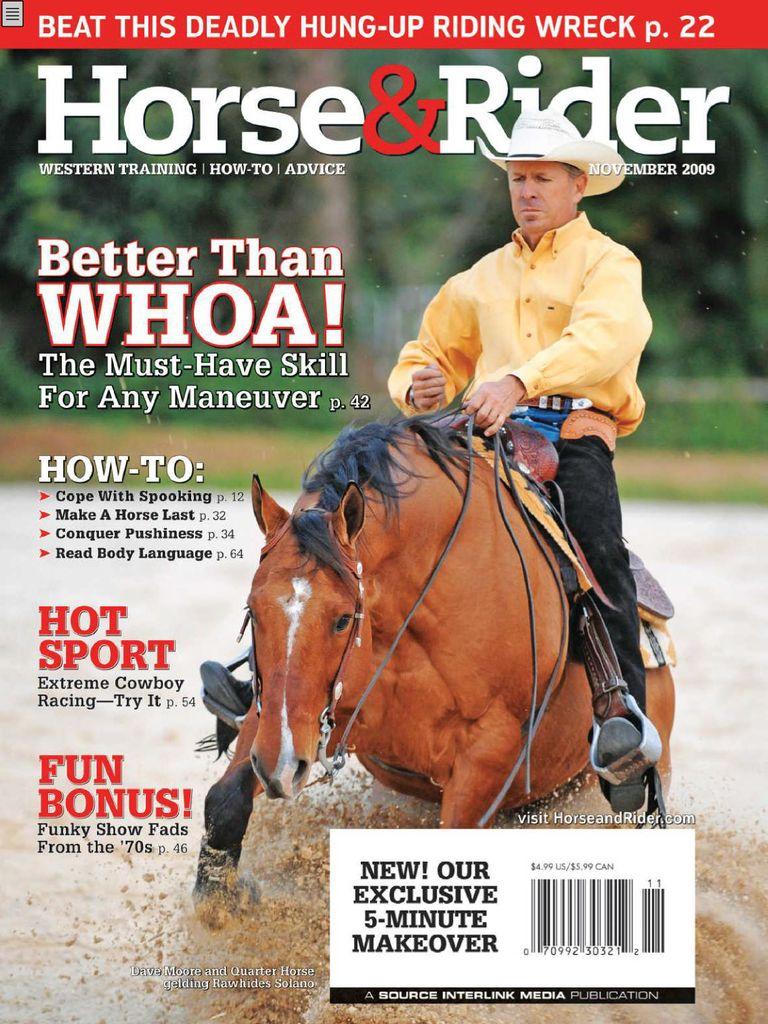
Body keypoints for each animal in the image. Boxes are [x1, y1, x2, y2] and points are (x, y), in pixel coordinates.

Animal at [193, 416, 675, 905]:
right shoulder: (287, 714)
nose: (283, 767)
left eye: (343, 619)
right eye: (253, 609)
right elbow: (224, 802)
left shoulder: (489, 751)